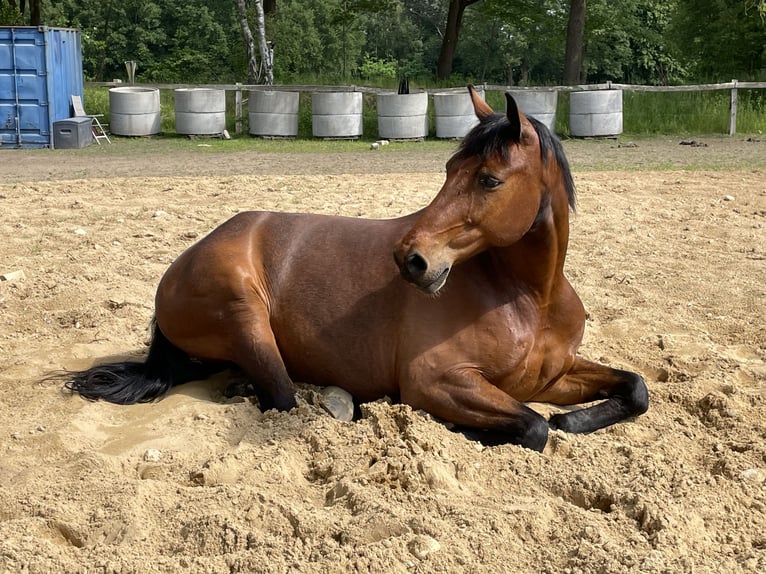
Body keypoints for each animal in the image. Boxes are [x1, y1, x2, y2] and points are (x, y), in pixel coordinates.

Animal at [63, 86, 648, 454]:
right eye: (449, 168)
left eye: (489, 179)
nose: (410, 259)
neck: (529, 296)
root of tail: (180, 265)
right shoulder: (433, 380)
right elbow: (532, 426)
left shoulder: (550, 375)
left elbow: (635, 389)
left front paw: (574, 419)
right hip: (244, 314)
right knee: (283, 398)